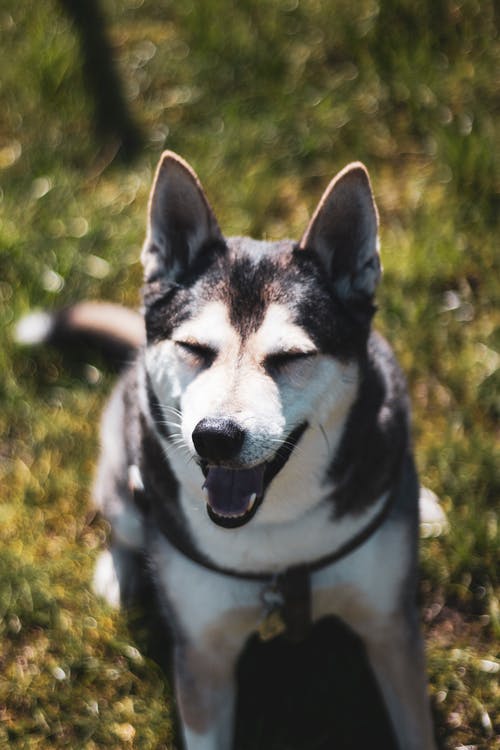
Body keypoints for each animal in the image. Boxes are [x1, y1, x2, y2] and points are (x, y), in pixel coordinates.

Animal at [17, 153, 436, 750]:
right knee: (123, 516)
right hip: (122, 464)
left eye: (290, 357)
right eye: (194, 348)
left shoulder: (391, 628)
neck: (276, 545)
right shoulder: (203, 656)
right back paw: (120, 569)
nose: (214, 435)